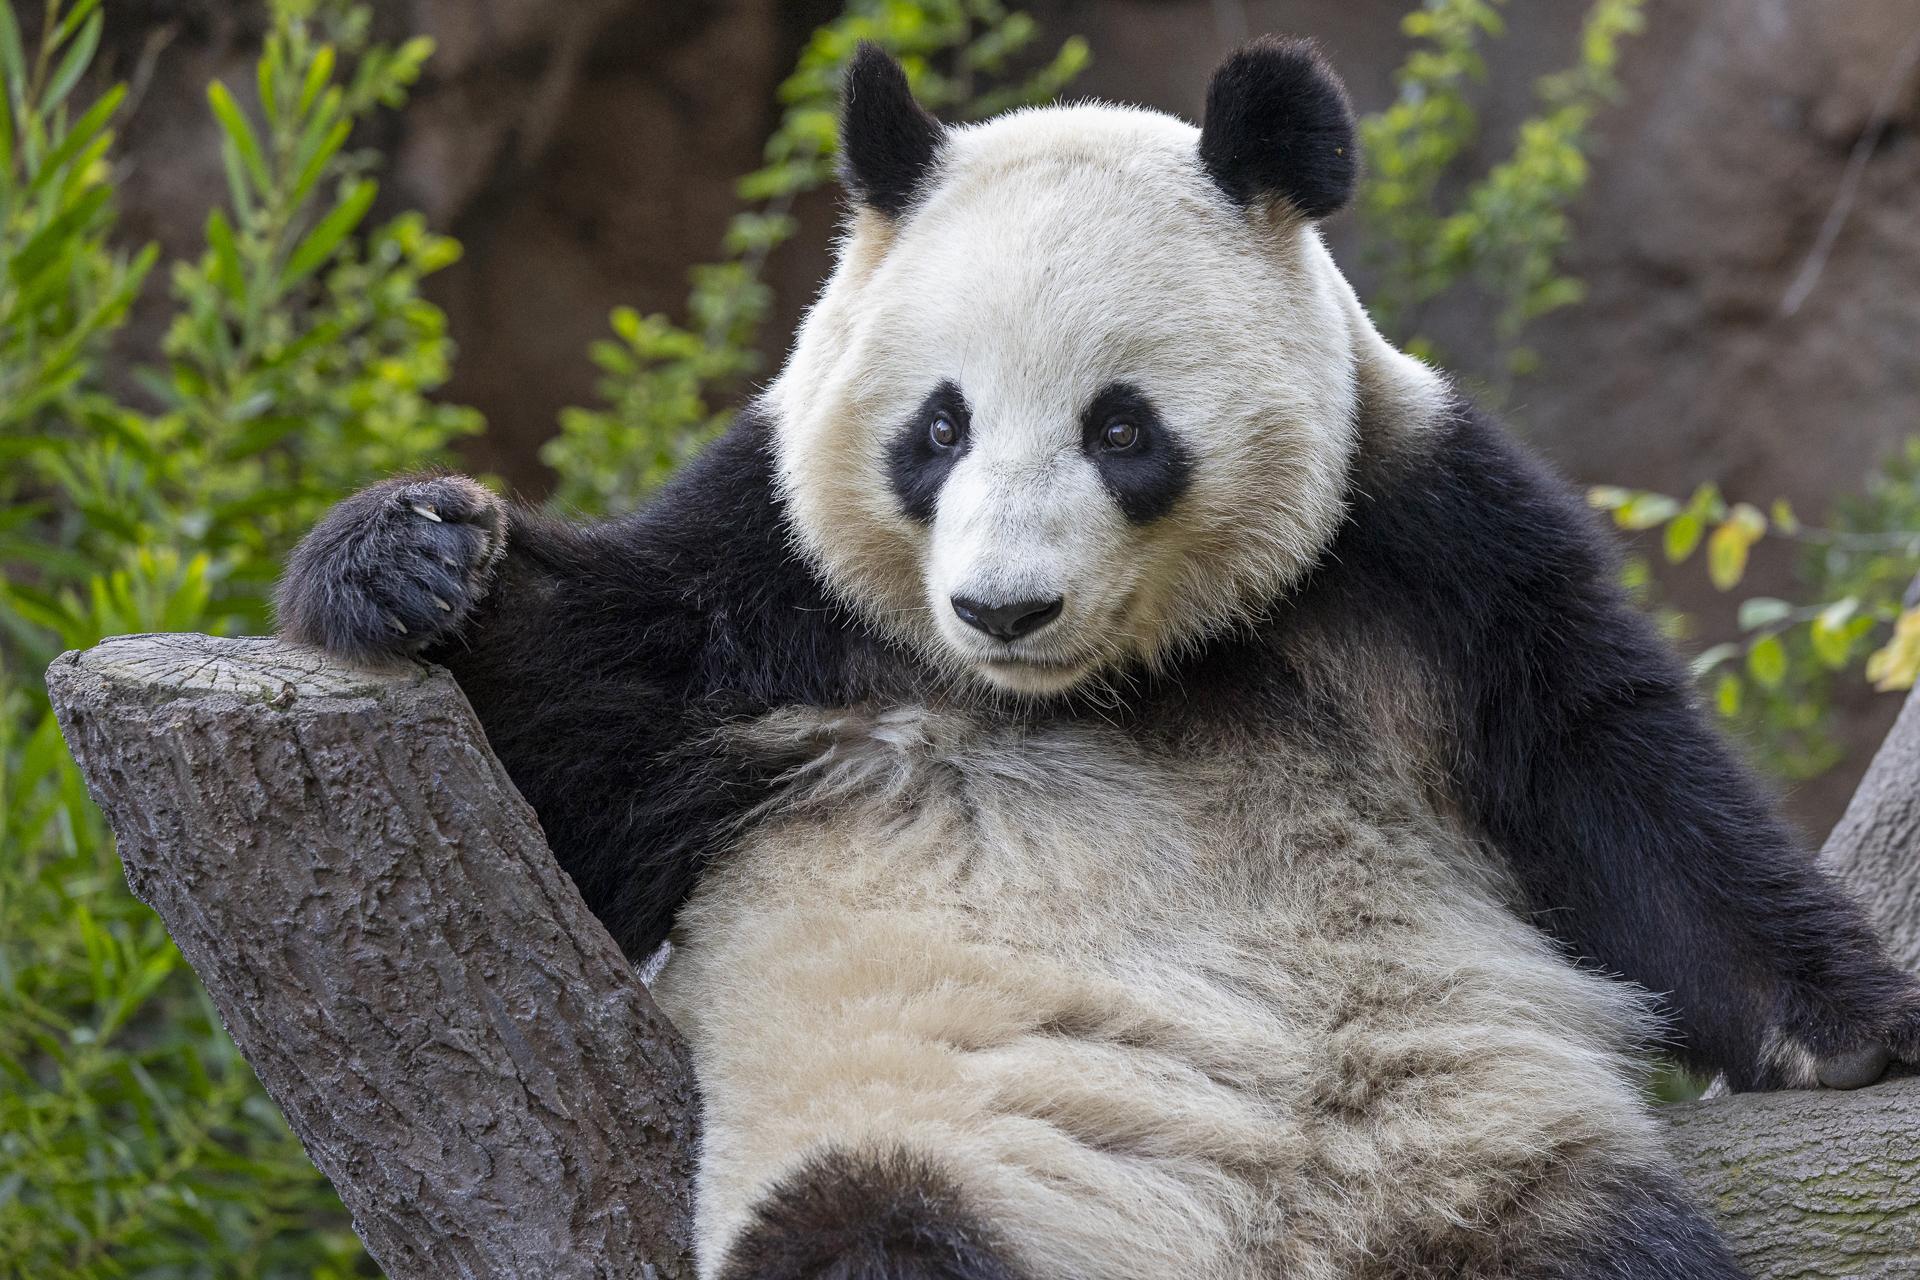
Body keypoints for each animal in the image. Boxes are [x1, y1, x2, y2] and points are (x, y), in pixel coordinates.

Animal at [279, 37, 1920, 1280]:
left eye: (1122, 428)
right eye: (938, 427)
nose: (1002, 609)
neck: (1123, 681)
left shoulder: (1413, 540)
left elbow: (1605, 763)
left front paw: (1854, 1034)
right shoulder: (771, 603)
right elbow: (587, 741)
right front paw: (409, 555)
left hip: (1483, 1149)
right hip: (940, 1145)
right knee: (868, 1237)